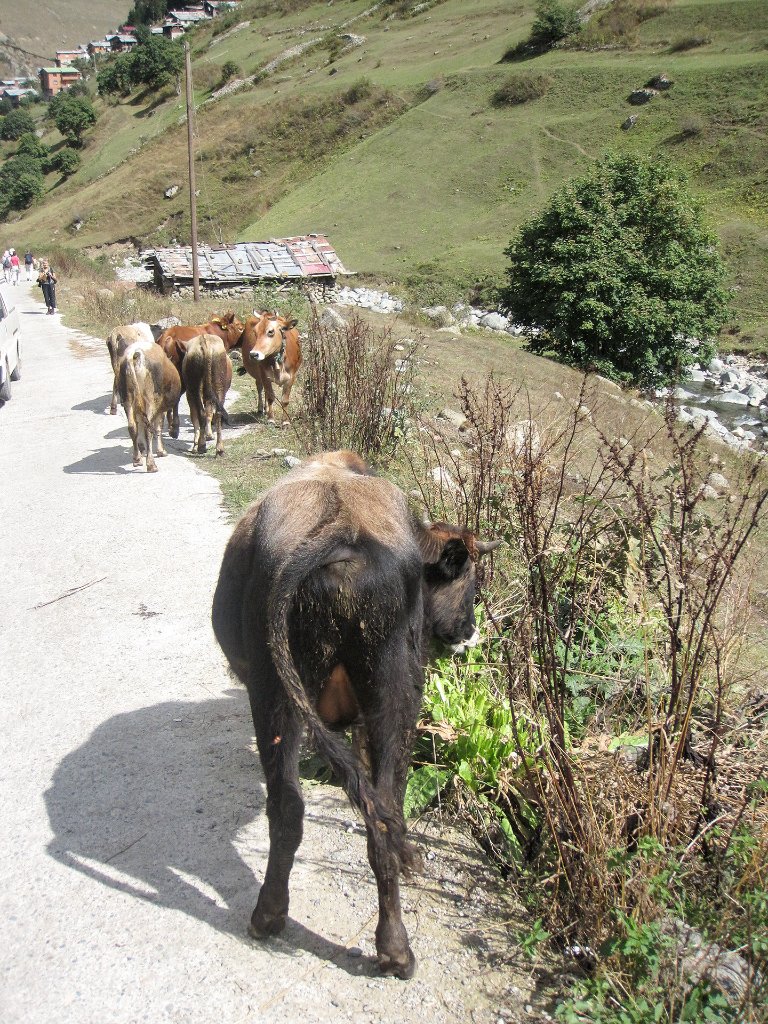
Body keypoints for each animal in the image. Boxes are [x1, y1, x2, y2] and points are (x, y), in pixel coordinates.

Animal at [118, 342, 182, 473]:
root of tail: (134, 353)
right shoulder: (160, 409)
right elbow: (158, 427)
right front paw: (161, 451)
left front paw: (142, 448)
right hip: (151, 400)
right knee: (148, 429)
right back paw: (151, 464)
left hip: (128, 399)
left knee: (132, 427)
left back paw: (137, 459)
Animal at [211, 452, 499, 978]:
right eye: (470, 583)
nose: (470, 632)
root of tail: (340, 529)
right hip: (390, 693)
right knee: (378, 806)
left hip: (280, 695)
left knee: (295, 805)